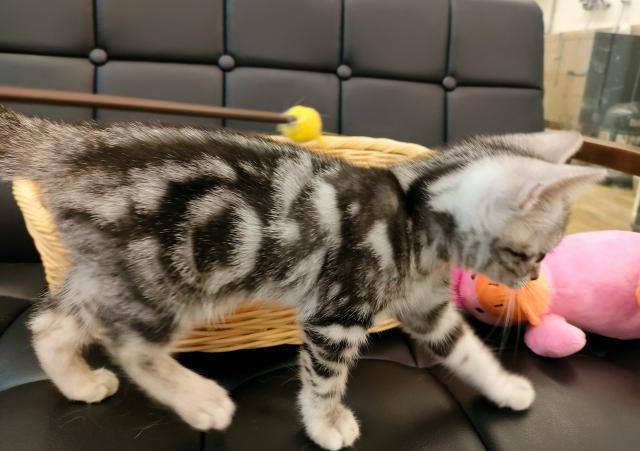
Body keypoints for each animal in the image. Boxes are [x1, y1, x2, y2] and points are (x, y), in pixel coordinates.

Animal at [0, 105, 604, 450]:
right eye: (537, 253)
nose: (534, 277)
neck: (416, 212)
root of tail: (67, 144)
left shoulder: (428, 310)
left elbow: (467, 351)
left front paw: (505, 387)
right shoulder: (335, 314)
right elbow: (324, 379)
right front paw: (326, 424)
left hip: (108, 272)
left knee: (50, 325)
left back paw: (79, 383)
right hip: (167, 274)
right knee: (128, 343)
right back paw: (200, 399)